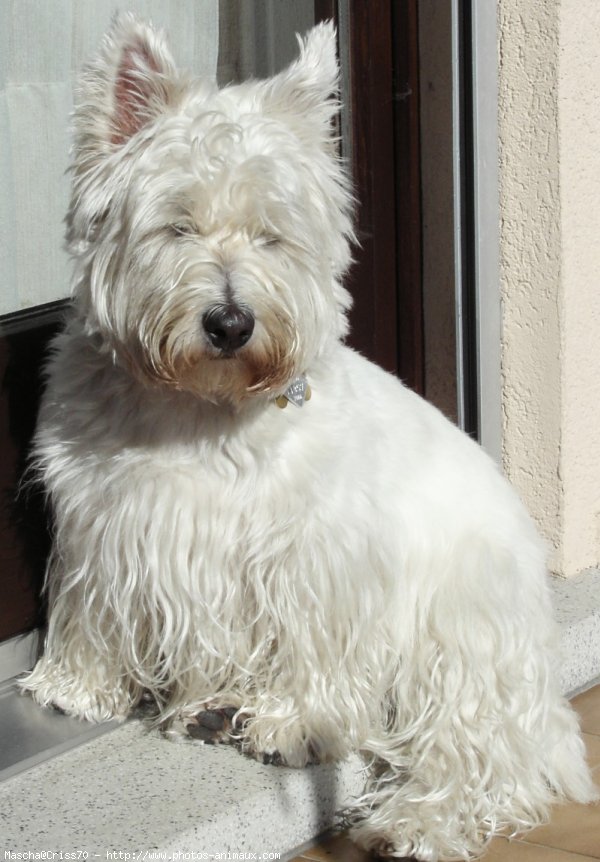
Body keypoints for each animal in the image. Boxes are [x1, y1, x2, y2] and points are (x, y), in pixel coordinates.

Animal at [22, 15, 596, 862]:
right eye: (177, 223)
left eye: (272, 235)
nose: (230, 323)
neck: (201, 407)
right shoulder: (107, 519)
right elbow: (93, 601)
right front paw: (75, 684)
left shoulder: (313, 555)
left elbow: (310, 646)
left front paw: (291, 722)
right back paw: (214, 708)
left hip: (462, 637)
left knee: (481, 754)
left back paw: (412, 823)